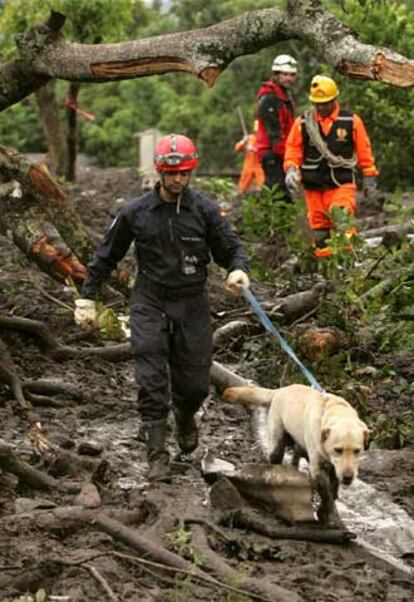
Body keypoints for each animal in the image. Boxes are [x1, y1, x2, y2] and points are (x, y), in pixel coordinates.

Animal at [222, 384, 370, 520]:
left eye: (357, 450)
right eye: (338, 450)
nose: (348, 477)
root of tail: (280, 389)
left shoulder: (334, 469)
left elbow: (333, 489)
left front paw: (328, 506)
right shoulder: (317, 469)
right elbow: (325, 493)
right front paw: (327, 513)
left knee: (295, 458)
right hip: (277, 441)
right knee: (276, 460)